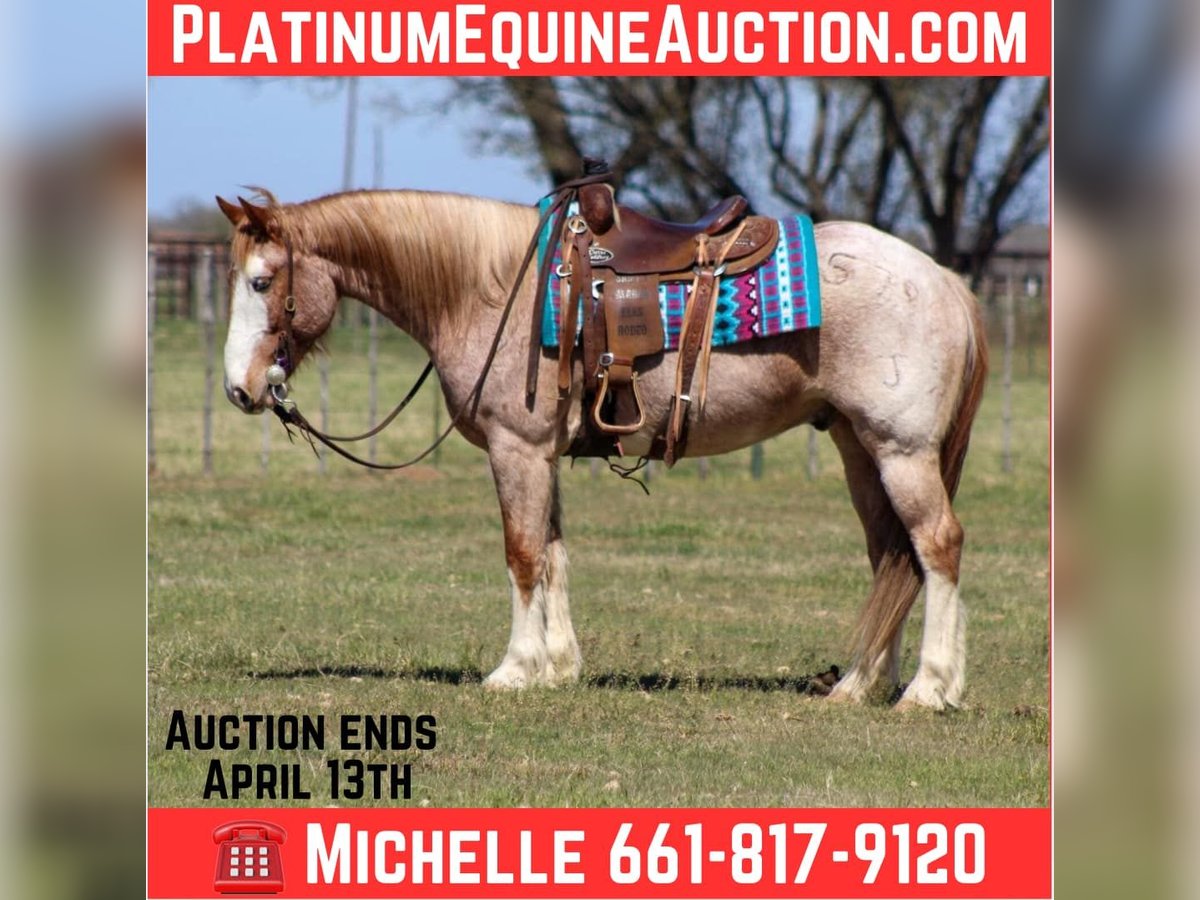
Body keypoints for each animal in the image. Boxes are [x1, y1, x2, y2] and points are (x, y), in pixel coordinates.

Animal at [215, 187, 987, 711]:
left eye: (262, 282)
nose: (239, 389)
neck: (493, 287)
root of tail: (945, 281)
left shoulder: (517, 450)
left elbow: (523, 555)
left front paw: (514, 669)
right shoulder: (542, 457)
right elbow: (554, 554)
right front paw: (558, 667)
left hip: (901, 451)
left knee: (937, 546)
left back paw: (930, 689)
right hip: (861, 450)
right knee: (892, 556)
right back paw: (860, 684)